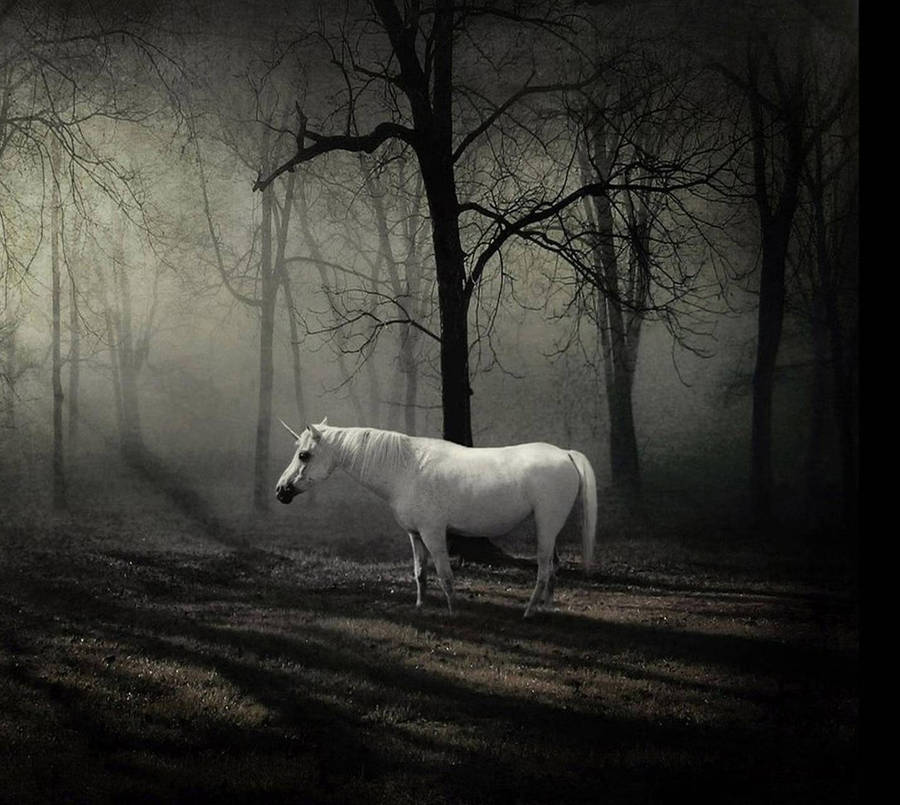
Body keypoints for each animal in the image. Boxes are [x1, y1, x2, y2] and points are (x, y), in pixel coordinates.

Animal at [275, 418, 598, 619]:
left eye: (304, 455)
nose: (280, 491)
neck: (406, 469)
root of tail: (565, 454)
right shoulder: (415, 534)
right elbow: (421, 572)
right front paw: (420, 605)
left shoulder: (433, 533)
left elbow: (445, 575)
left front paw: (453, 611)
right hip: (551, 529)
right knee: (553, 568)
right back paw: (546, 609)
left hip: (546, 526)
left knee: (543, 570)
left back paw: (529, 612)